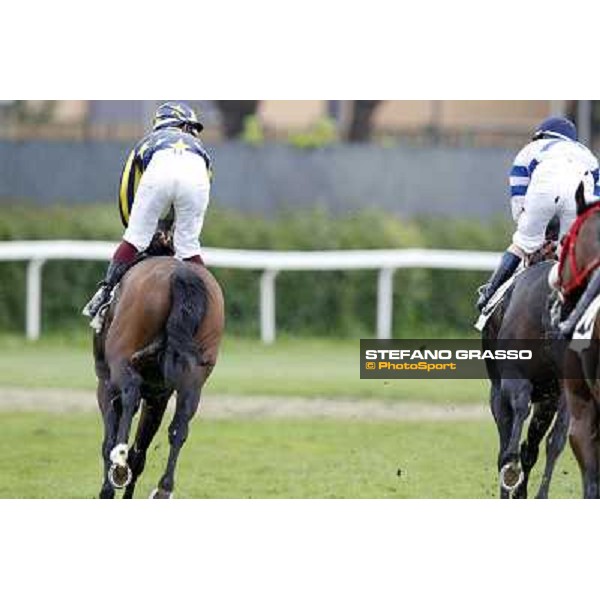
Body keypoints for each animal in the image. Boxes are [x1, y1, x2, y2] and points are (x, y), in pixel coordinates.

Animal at [94, 255, 225, 500]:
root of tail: (182, 274)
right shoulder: (158, 396)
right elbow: (140, 453)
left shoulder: (105, 385)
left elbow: (109, 440)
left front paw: (108, 488)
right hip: (194, 379)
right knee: (180, 425)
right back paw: (164, 488)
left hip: (120, 361)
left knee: (130, 393)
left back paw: (119, 464)